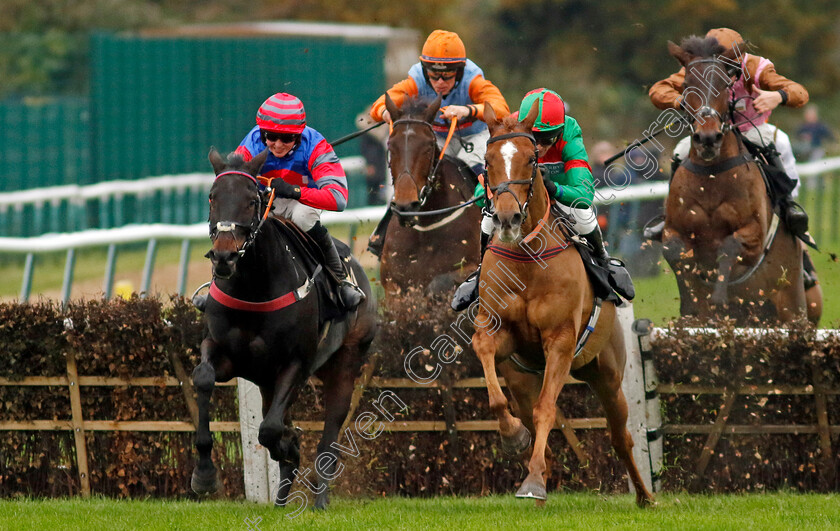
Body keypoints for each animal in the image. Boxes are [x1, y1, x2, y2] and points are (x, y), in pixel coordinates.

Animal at [194, 148, 378, 510]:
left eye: (252, 200)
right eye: (212, 196)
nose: (223, 257)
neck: (254, 288)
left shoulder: (296, 363)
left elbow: (270, 429)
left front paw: (290, 446)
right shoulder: (227, 354)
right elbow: (204, 378)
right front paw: (205, 474)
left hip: (346, 362)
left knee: (328, 436)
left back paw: (319, 498)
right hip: (266, 381)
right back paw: (280, 498)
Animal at [378, 94, 482, 300]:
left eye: (428, 146)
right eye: (391, 146)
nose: (406, 206)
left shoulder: (472, 266)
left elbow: (440, 283)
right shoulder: (392, 285)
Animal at [470, 103, 652, 508]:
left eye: (531, 158)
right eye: (487, 161)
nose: (507, 218)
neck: (526, 260)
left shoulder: (561, 341)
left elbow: (547, 411)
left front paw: (533, 482)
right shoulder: (499, 334)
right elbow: (490, 375)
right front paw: (514, 440)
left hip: (607, 375)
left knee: (621, 438)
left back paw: (645, 495)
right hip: (522, 377)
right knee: (527, 409)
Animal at [664, 36, 812, 324]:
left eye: (725, 84)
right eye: (686, 85)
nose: (708, 138)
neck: (711, 176)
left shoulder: (754, 234)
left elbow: (729, 246)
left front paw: (719, 297)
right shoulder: (672, 231)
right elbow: (678, 254)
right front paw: (693, 302)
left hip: (792, 306)